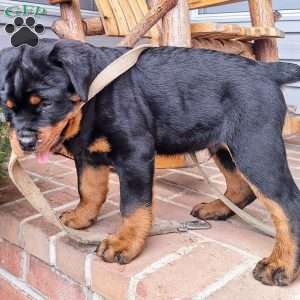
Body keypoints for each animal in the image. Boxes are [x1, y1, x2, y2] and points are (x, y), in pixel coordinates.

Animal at [0, 38, 300, 288]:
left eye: (46, 103)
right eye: (7, 108)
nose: (24, 142)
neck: (94, 94)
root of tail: (267, 71)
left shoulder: (135, 152)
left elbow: (133, 206)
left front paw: (124, 243)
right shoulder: (88, 153)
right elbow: (89, 189)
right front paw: (81, 217)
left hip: (254, 146)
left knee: (287, 204)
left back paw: (280, 264)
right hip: (224, 145)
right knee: (242, 187)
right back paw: (215, 209)